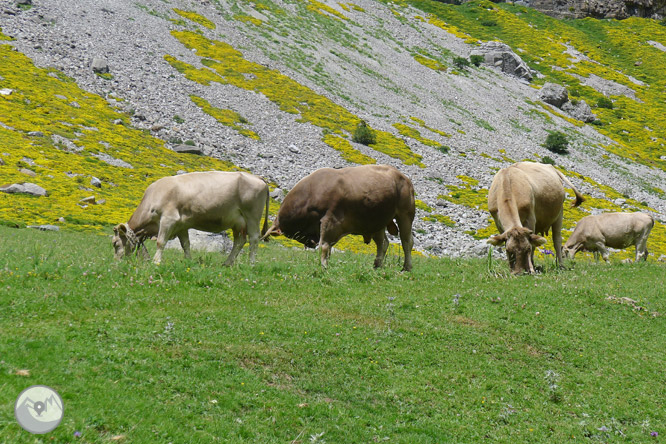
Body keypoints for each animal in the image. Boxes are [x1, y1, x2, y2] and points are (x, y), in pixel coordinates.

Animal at [113, 172, 268, 266]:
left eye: (115, 243)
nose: (115, 262)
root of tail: (257, 177)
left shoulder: (168, 219)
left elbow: (160, 242)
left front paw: (156, 262)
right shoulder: (181, 226)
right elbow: (186, 244)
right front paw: (188, 261)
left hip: (252, 216)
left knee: (254, 239)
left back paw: (251, 263)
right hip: (237, 222)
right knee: (239, 241)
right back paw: (227, 263)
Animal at [260, 164, 412, 270]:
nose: (310, 243)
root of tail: (403, 177)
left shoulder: (330, 221)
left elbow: (324, 246)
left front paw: (323, 266)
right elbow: (327, 248)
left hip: (405, 215)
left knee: (407, 242)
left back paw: (406, 267)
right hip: (377, 222)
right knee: (383, 243)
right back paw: (377, 265)